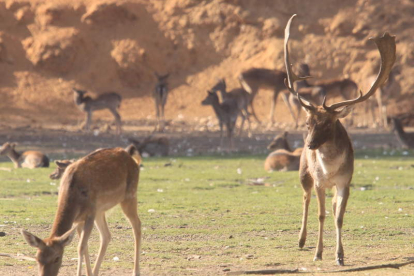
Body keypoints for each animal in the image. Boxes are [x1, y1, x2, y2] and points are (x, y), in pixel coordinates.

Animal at [21, 148, 142, 276]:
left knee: (137, 225)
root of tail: (131, 158)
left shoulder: (90, 214)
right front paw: (89, 273)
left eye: (57, 258)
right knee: (106, 235)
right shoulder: (78, 220)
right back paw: (95, 272)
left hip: (130, 195)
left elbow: (80, 247)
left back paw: (136, 271)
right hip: (100, 210)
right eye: (37, 258)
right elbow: (85, 246)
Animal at [284, 14, 396, 266]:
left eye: (328, 124)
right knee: (305, 198)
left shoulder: (346, 181)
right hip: (303, 173)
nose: (310, 145)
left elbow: (339, 217)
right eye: (308, 124)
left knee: (333, 205)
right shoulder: (318, 182)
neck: (330, 170)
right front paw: (318, 253)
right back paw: (301, 240)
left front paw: (339, 256)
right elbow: (321, 215)